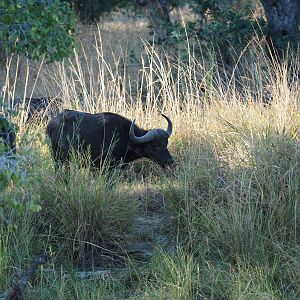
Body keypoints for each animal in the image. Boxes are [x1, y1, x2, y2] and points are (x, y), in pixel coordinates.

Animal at [46, 109, 175, 169]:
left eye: (166, 143)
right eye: (155, 145)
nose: (170, 161)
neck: (125, 136)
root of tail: (51, 124)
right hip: (59, 159)